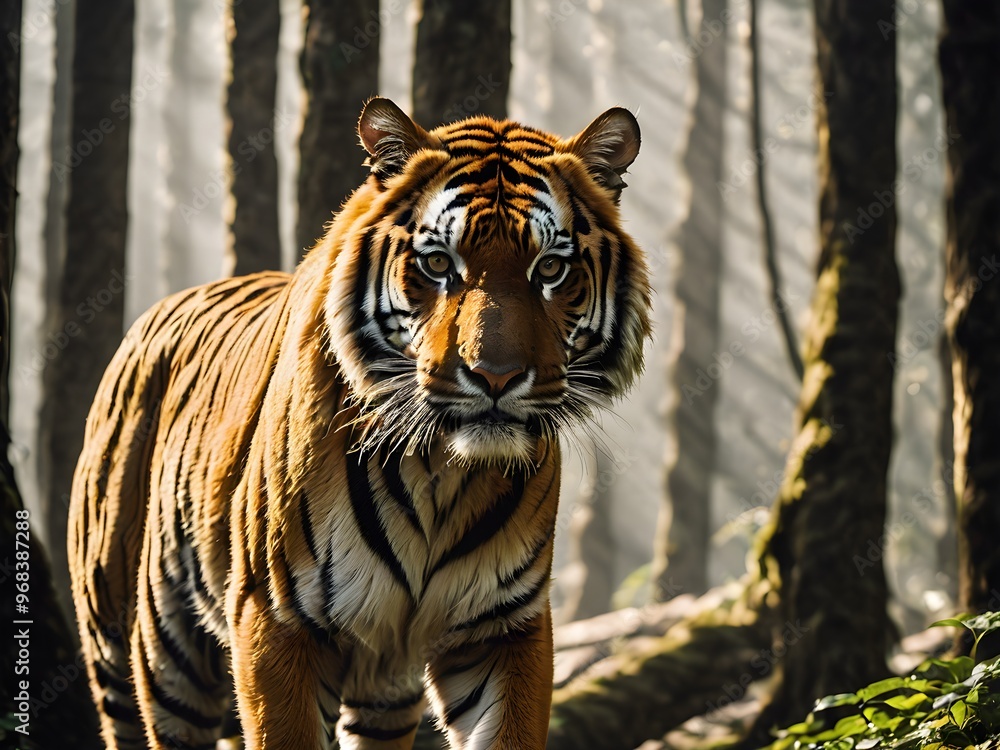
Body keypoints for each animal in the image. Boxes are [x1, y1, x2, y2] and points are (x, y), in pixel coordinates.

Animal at [69, 97, 650, 750]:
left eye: (550, 268)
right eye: (438, 263)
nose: (495, 377)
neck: (443, 473)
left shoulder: (503, 627)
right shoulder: (277, 619)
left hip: (384, 691)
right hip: (149, 650)